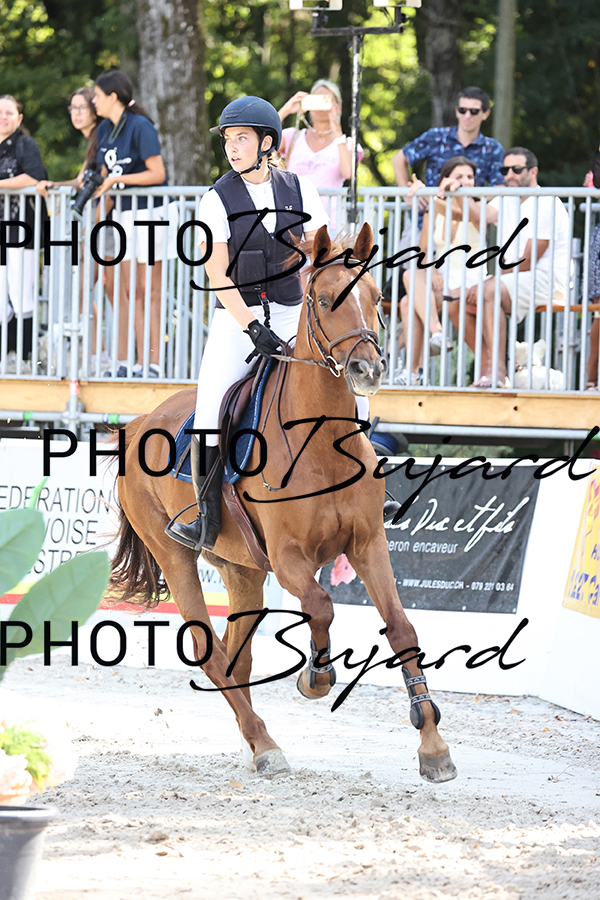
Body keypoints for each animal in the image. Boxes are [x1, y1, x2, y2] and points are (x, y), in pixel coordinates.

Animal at [110, 222, 457, 783]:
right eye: (325, 299)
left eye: (376, 298)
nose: (367, 369)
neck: (321, 442)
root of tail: (139, 422)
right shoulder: (289, 558)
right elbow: (321, 606)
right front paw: (316, 677)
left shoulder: (368, 545)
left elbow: (402, 627)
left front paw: (432, 743)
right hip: (178, 557)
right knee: (209, 652)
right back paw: (265, 743)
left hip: (242, 570)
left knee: (235, 656)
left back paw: (256, 741)